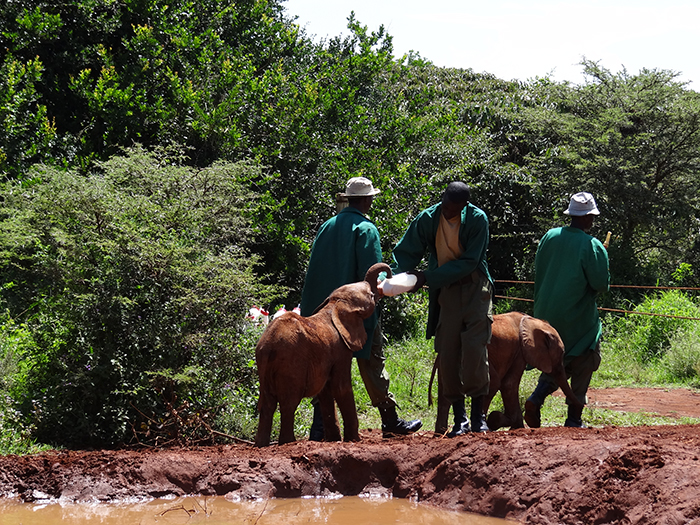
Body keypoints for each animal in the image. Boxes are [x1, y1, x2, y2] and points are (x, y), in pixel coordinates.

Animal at [254, 262, 392, 446]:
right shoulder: (341, 350)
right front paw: (353, 440)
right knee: (288, 403)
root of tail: (269, 345)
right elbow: (341, 388)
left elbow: (326, 392)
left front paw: (334, 440)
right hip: (290, 364)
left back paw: (261, 445)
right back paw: (289, 443)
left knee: (267, 404)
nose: (388, 276)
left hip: (264, 365)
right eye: (370, 295)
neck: (335, 305)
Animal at [434, 312, 584, 430]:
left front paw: (517, 427)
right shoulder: (520, 350)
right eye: (561, 354)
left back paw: (441, 433)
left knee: (446, 392)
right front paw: (505, 423)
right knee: (492, 383)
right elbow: (509, 384)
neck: (533, 321)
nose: (581, 408)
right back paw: (482, 426)